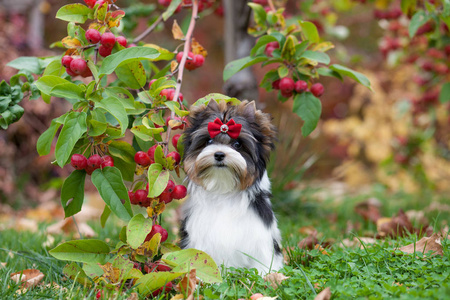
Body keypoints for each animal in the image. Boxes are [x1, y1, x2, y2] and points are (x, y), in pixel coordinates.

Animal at [178, 99, 282, 274]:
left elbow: (263, 260)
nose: (219, 154)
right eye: (209, 141)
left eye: (238, 144)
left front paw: (266, 275)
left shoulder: (260, 235)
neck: (223, 188)